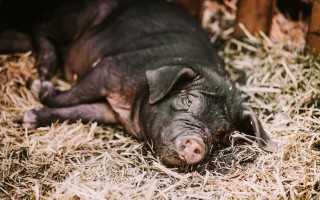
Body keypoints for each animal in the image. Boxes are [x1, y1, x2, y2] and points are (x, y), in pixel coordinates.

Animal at [2, 0, 276, 166]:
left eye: (221, 133)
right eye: (187, 100)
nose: (195, 144)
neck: (131, 111)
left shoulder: (107, 110)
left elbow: (77, 112)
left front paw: (28, 118)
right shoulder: (111, 68)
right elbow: (66, 97)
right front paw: (38, 87)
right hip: (73, 18)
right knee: (40, 30)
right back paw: (44, 69)